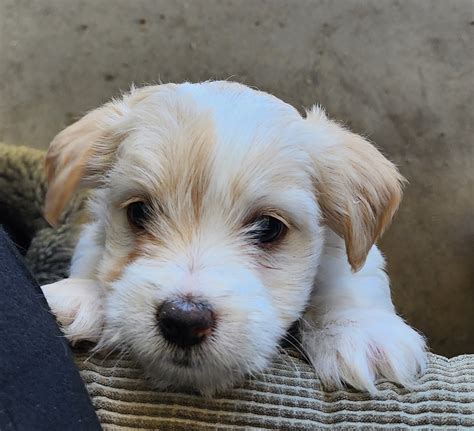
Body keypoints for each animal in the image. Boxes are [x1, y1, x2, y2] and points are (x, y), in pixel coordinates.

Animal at [40, 81, 426, 394]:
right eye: (139, 212)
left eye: (269, 227)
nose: (184, 320)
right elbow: (92, 255)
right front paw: (80, 295)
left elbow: (350, 276)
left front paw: (361, 331)